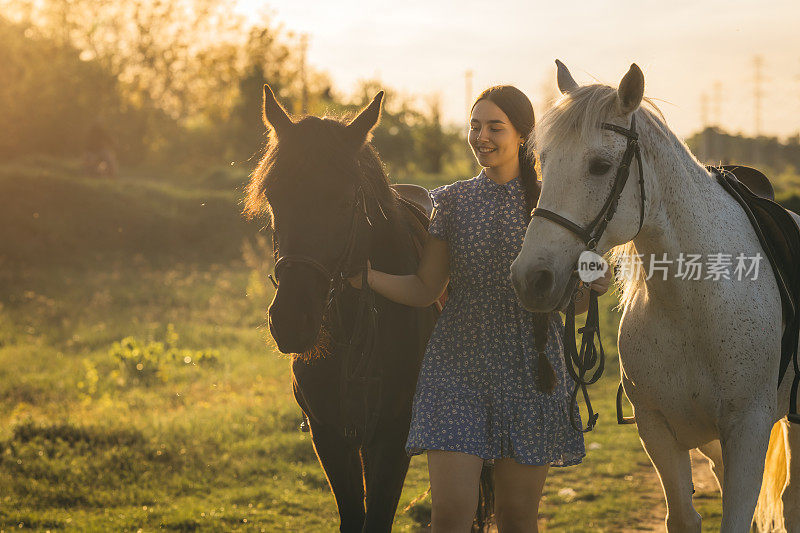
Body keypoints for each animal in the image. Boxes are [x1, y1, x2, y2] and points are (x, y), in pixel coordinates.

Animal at [512, 60, 800, 528]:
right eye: (544, 161)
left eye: (599, 165)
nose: (530, 278)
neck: (694, 302)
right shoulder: (659, 430)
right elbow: (682, 518)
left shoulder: (749, 430)